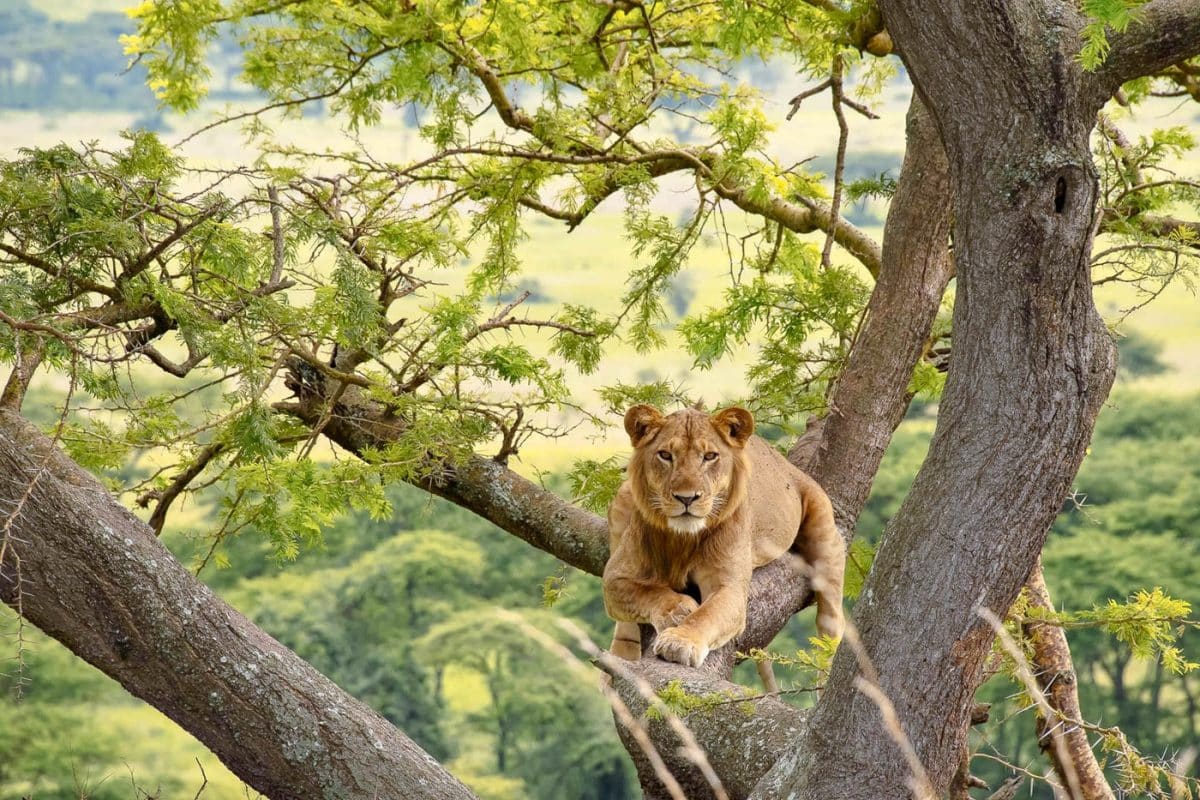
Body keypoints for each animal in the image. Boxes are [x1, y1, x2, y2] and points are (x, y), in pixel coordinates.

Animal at [603, 404, 845, 668]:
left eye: (710, 456)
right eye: (665, 455)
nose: (687, 498)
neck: (683, 538)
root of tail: (787, 466)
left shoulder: (729, 587)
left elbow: (707, 615)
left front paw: (680, 641)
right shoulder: (614, 577)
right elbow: (646, 592)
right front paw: (679, 609)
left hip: (823, 527)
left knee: (831, 615)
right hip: (624, 496)